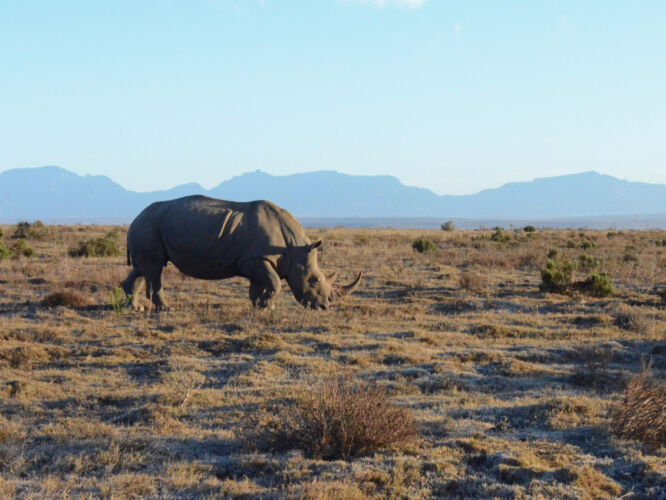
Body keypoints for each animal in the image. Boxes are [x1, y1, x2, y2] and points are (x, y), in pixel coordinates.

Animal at [120, 195, 361, 311]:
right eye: (314, 281)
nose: (324, 307)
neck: (293, 248)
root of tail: (135, 218)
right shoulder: (256, 259)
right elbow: (275, 282)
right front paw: (266, 306)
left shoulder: (254, 260)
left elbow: (260, 285)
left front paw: (261, 306)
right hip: (149, 226)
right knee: (154, 269)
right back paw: (165, 309)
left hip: (147, 227)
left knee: (142, 269)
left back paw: (135, 307)